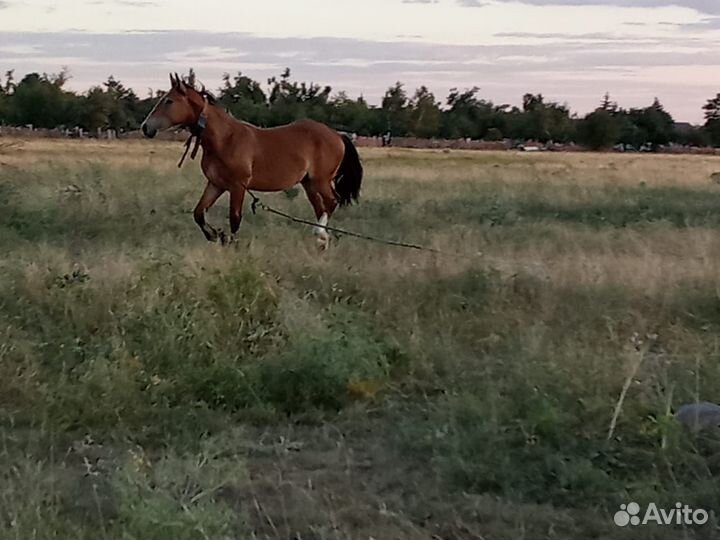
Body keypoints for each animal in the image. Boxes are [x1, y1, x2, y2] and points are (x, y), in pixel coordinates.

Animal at [140, 73, 363, 249]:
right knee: (320, 207)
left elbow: (235, 219)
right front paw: (215, 235)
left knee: (331, 202)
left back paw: (321, 236)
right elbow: (199, 213)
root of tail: (338, 135)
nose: (145, 127)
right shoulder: (216, 184)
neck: (225, 139)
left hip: (320, 180)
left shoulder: (238, 186)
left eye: (168, 101)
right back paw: (320, 243)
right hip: (308, 183)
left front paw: (231, 244)